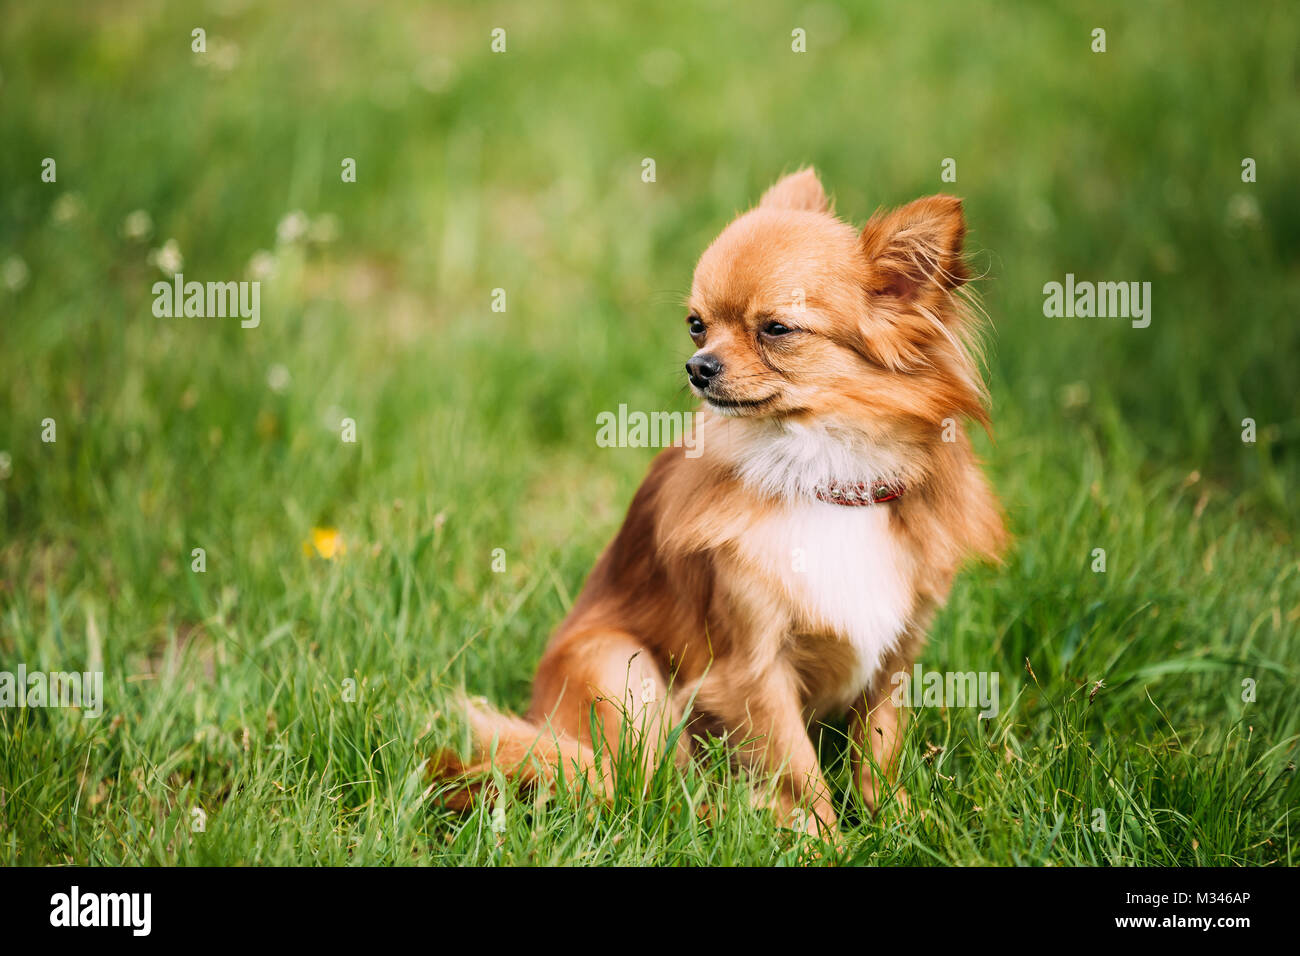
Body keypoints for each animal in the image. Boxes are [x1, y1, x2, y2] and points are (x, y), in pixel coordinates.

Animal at [436, 167, 1003, 832]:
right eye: (696, 324)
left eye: (776, 329)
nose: (697, 366)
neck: (824, 474)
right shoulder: (753, 665)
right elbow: (797, 771)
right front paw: (823, 840)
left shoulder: (894, 654)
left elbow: (878, 751)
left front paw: (898, 823)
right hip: (622, 670)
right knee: (638, 789)